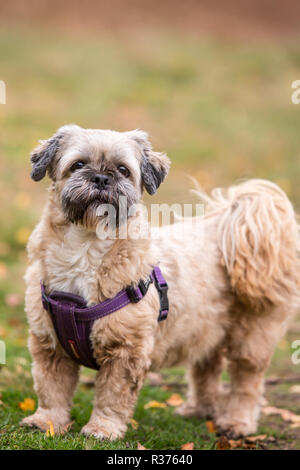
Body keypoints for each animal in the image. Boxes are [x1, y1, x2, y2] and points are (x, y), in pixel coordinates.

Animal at [21, 123, 300, 438]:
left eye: (123, 170)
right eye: (78, 165)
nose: (102, 177)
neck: (86, 247)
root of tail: (223, 227)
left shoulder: (125, 352)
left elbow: (112, 396)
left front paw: (103, 428)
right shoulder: (50, 346)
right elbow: (51, 390)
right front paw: (47, 422)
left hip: (253, 334)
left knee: (246, 379)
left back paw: (237, 422)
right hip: (204, 328)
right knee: (207, 368)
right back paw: (199, 409)